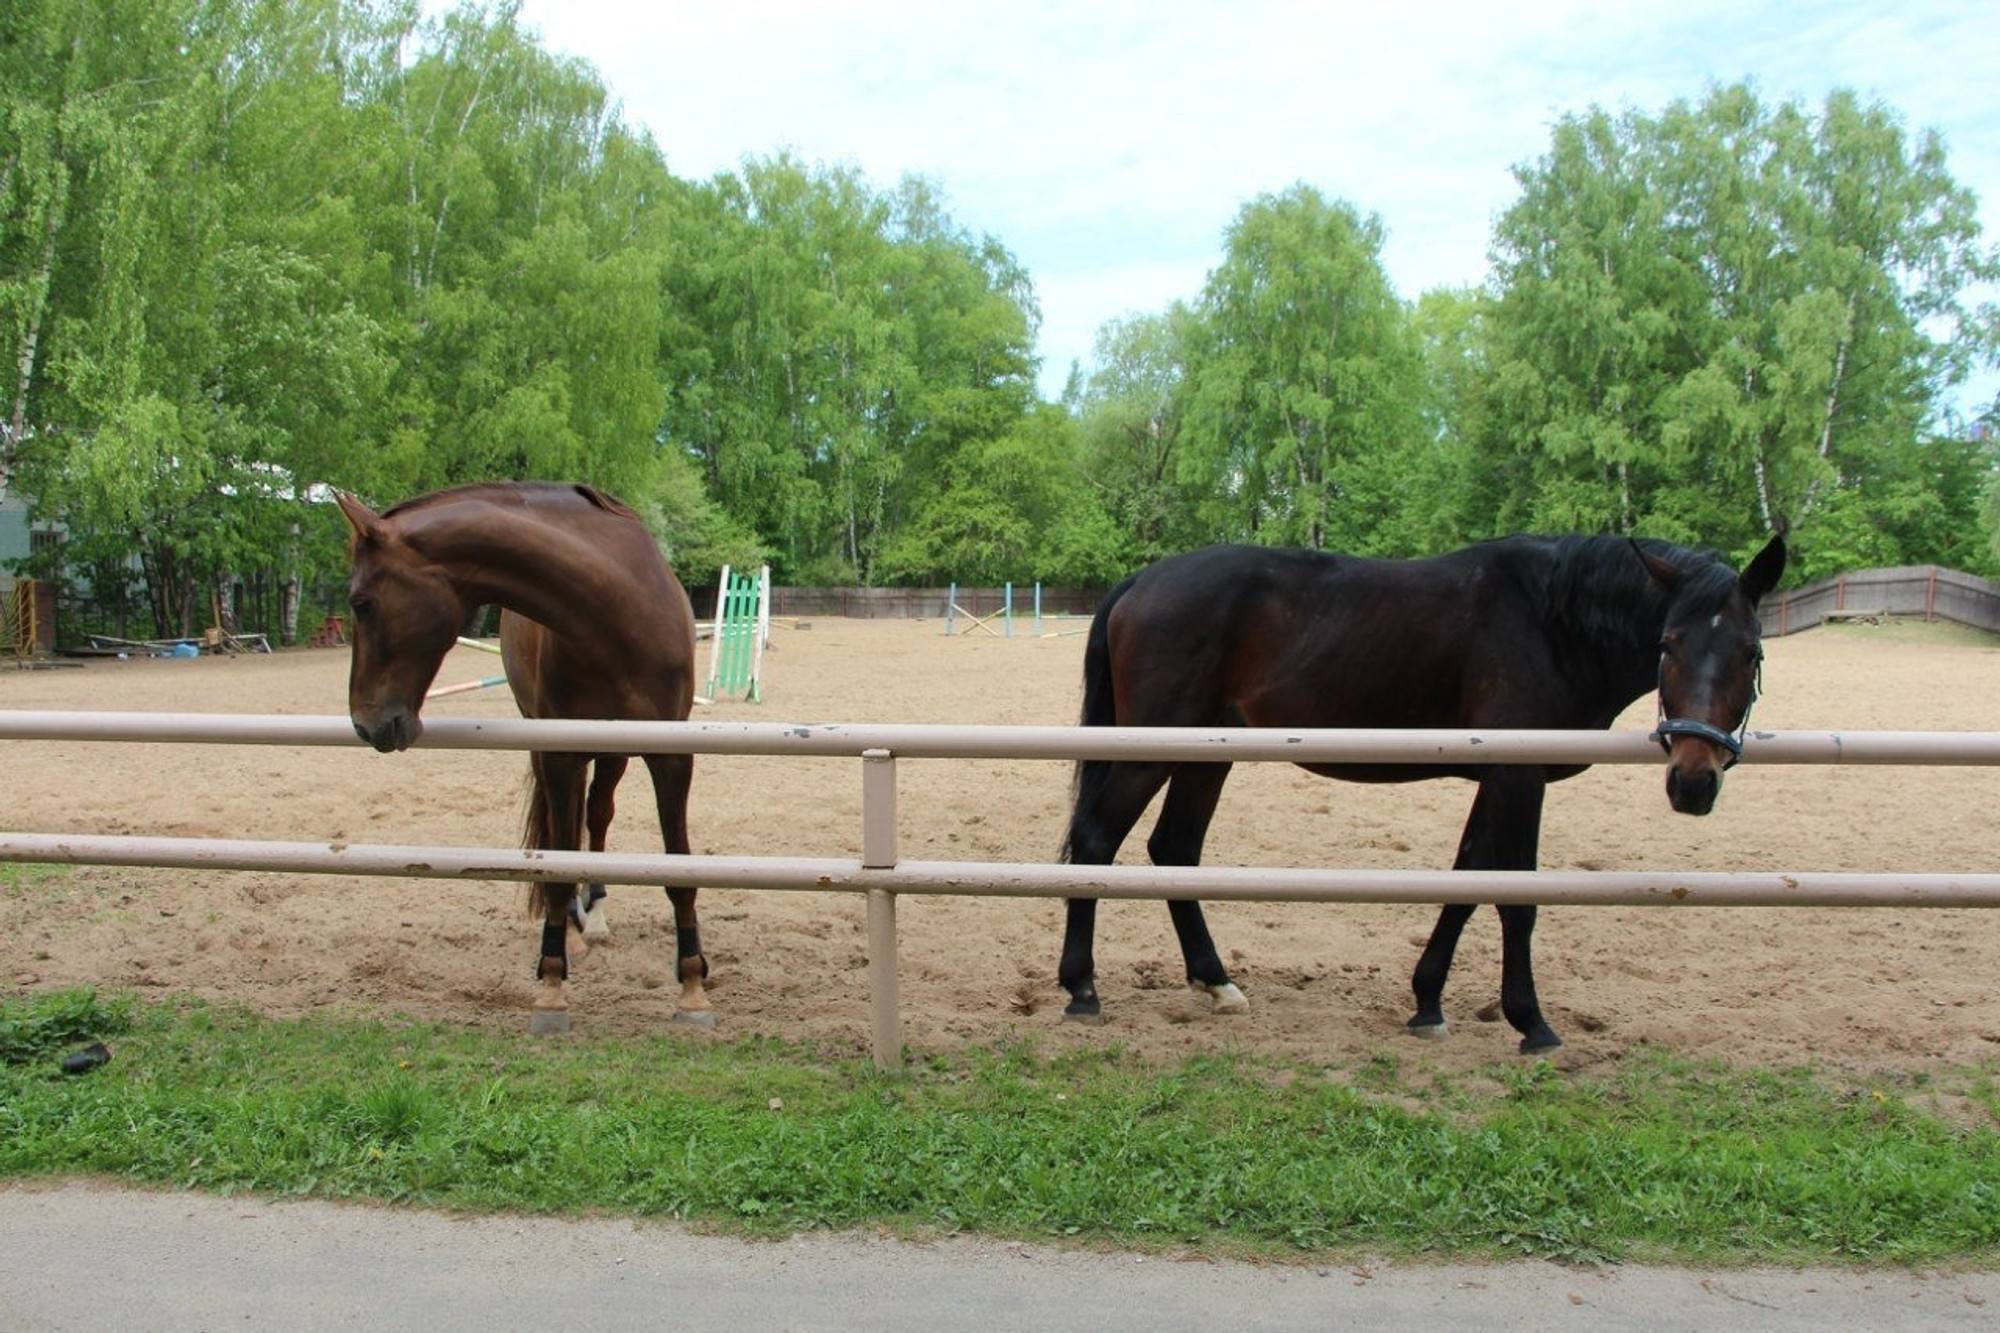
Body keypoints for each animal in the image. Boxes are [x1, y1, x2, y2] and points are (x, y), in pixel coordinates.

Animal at [342, 478, 712, 1024]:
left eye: (362, 603)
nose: (366, 724)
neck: (616, 614)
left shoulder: (671, 756)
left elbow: (680, 869)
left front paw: (691, 982)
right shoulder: (559, 754)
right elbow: (557, 866)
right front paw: (553, 978)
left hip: (613, 753)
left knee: (597, 814)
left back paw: (595, 913)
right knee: (569, 828)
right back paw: (575, 928)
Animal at [1056, 528, 1792, 1048]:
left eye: (1750, 651)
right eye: (1669, 642)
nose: (1693, 781)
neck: (1553, 620)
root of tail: (1142, 580)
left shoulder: (1497, 779)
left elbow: (1467, 883)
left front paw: (1428, 1002)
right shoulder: (1518, 778)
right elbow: (1516, 900)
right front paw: (1532, 1023)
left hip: (1206, 755)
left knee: (1174, 849)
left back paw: (1216, 982)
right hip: (1152, 751)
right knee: (1096, 842)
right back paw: (1083, 989)